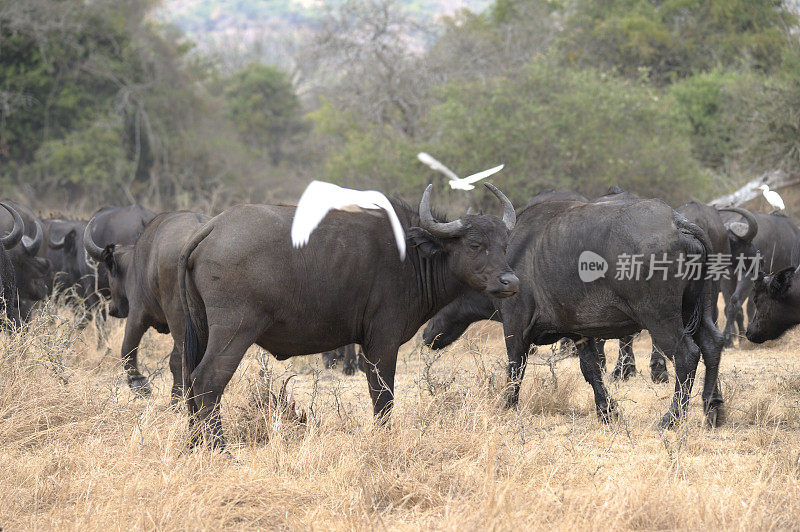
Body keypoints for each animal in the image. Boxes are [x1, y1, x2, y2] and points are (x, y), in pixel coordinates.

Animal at [179, 185, 520, 446]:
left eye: (504, 245)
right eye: (475, 244)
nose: (511, 282)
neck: (410, 254)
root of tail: (211, 228)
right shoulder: (382, 340)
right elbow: (383, 396)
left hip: (201, 330)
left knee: (189, 380)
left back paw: (194, 444)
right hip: (234, 330)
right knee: (207, 380)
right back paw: (219, 448)